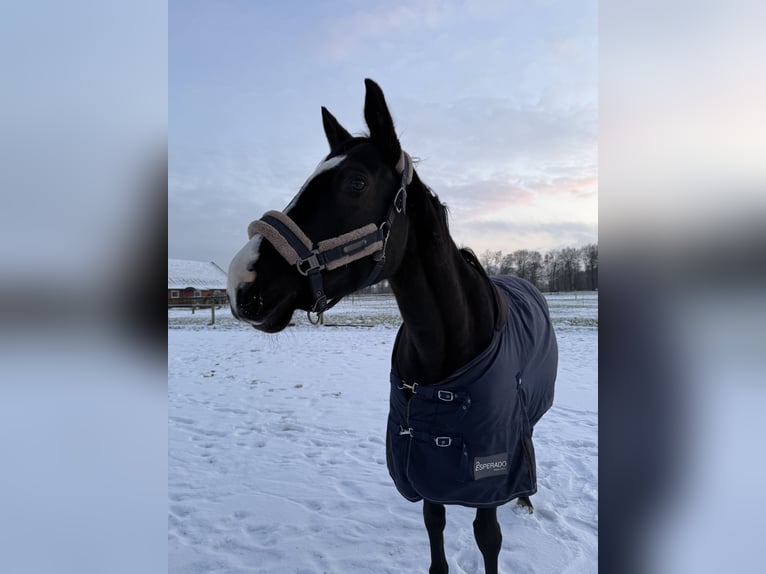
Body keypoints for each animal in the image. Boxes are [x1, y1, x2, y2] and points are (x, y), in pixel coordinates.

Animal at [227, 79, 558, 574]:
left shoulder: (486, 478)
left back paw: (526, 501)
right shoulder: (420, 465)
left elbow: (488, 539)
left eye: (357, 182)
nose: (240, 281)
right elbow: (435, 530)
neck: (445, 355)